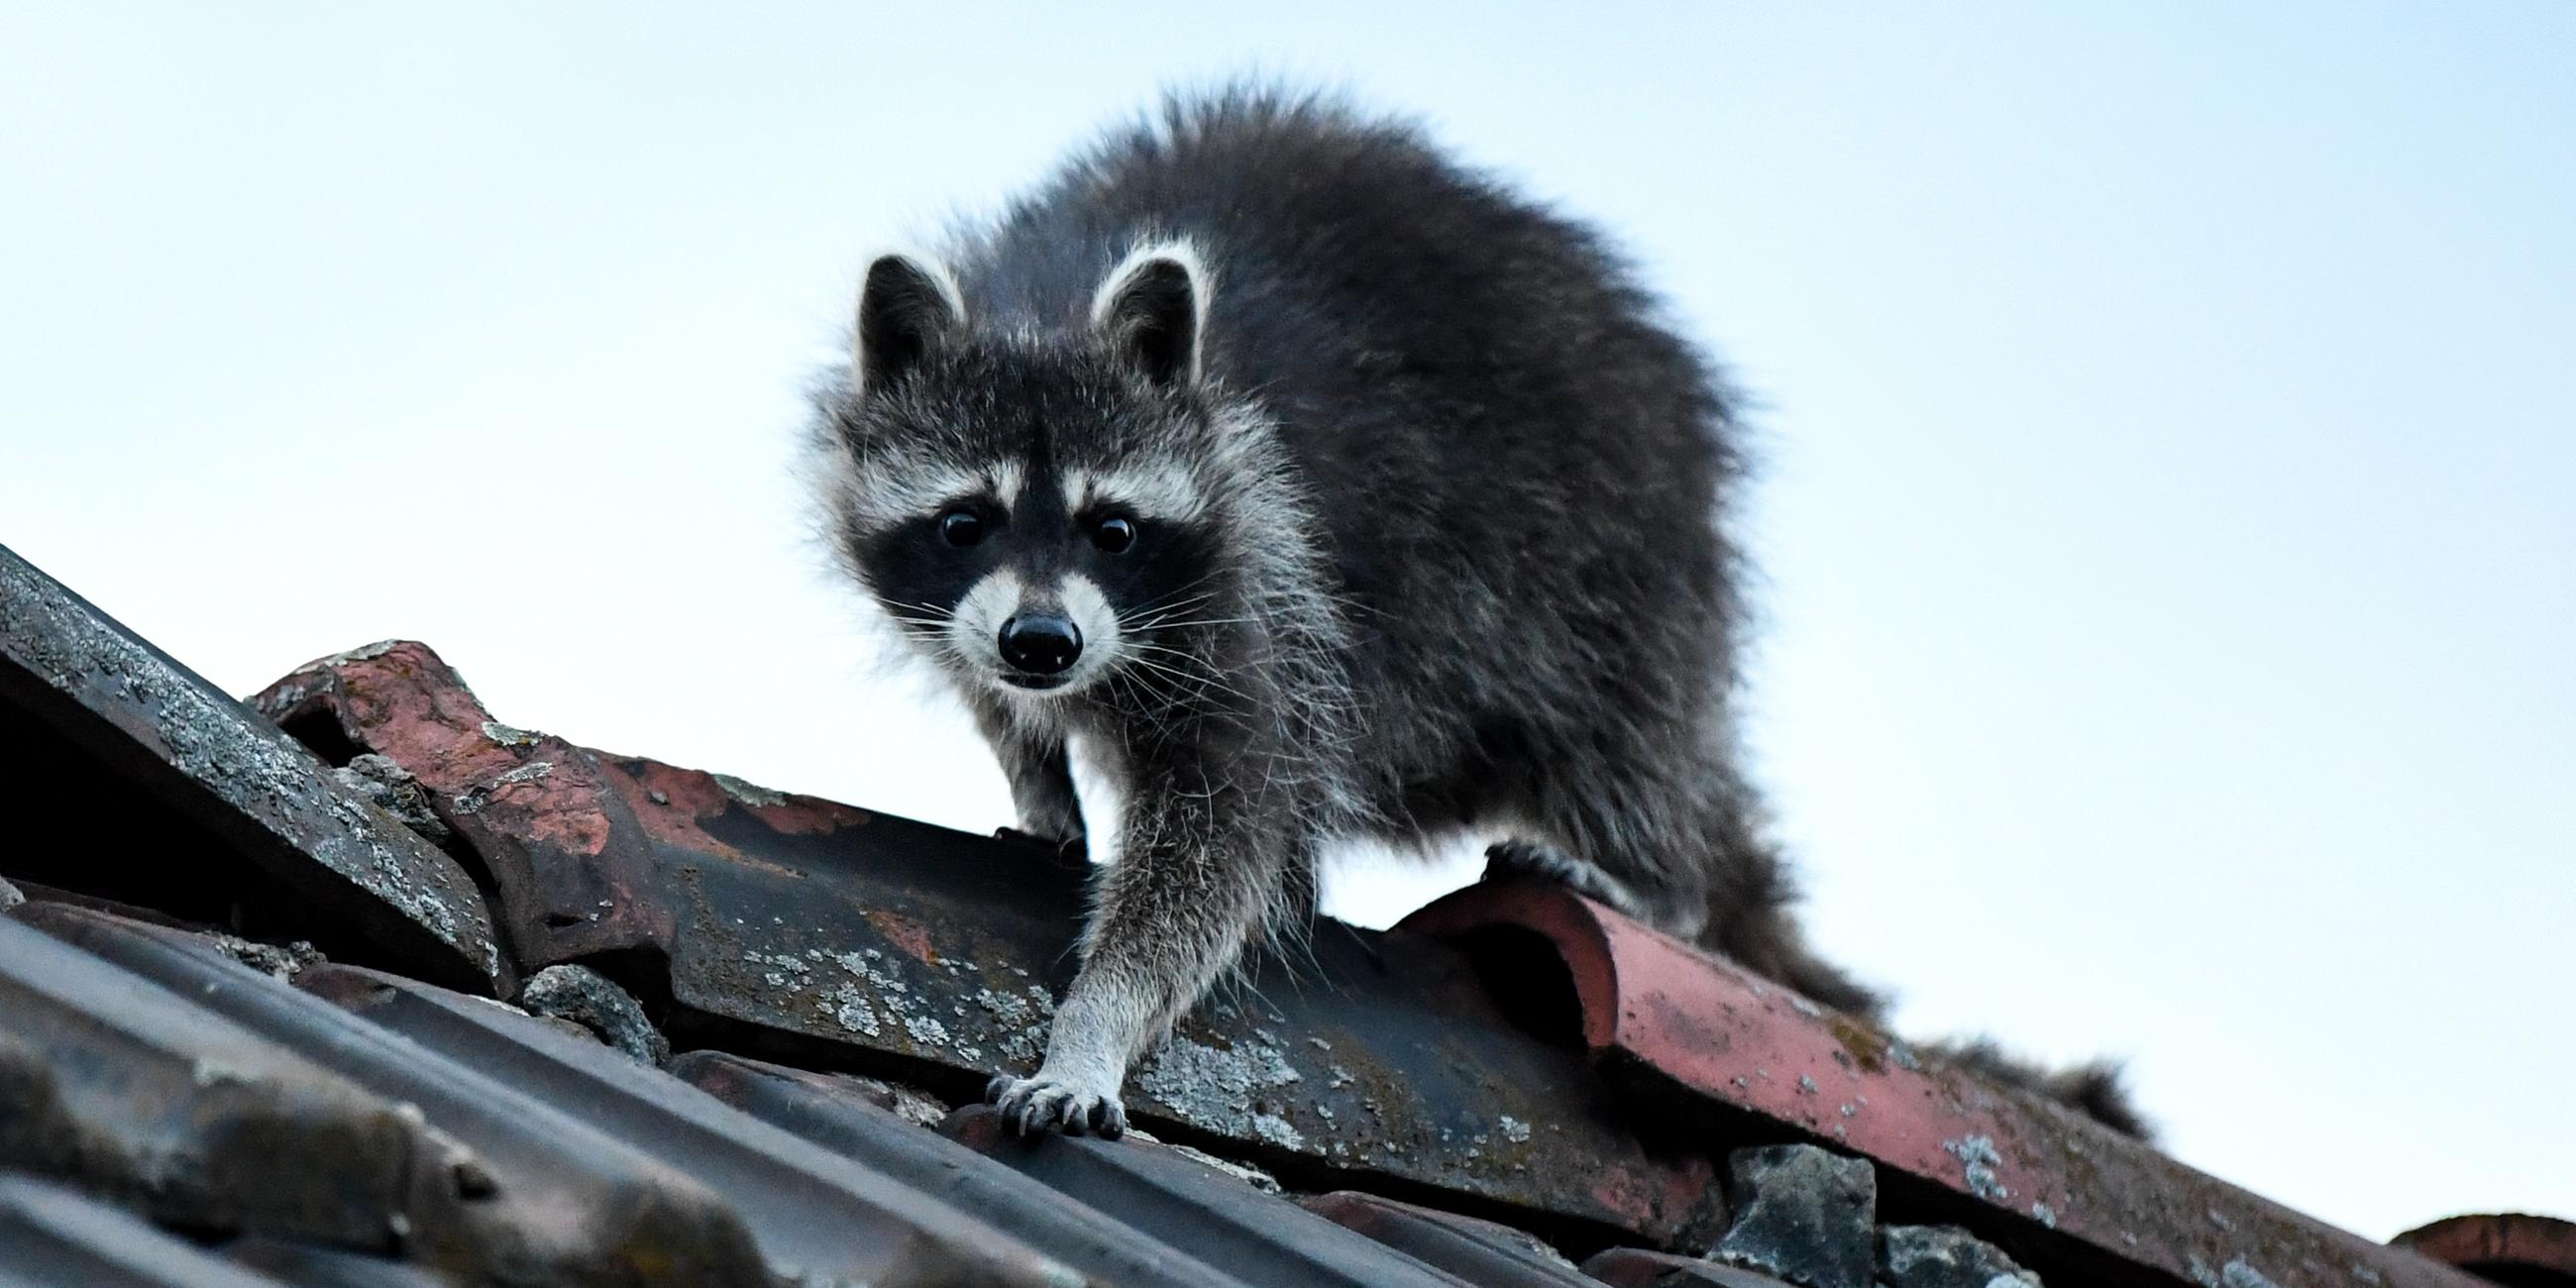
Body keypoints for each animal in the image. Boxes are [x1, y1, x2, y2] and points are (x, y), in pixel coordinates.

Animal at [804, 88, 2132, 1138]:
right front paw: (1036, 774)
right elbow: (1005, 705)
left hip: (1618, 552)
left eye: (1112, 529)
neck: (1044, 296)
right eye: (965, 522)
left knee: (1625, 734)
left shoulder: (1260, 583)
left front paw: (1096, 1020)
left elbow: (1220, 838)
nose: (1043, 643)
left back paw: (1658, 879)